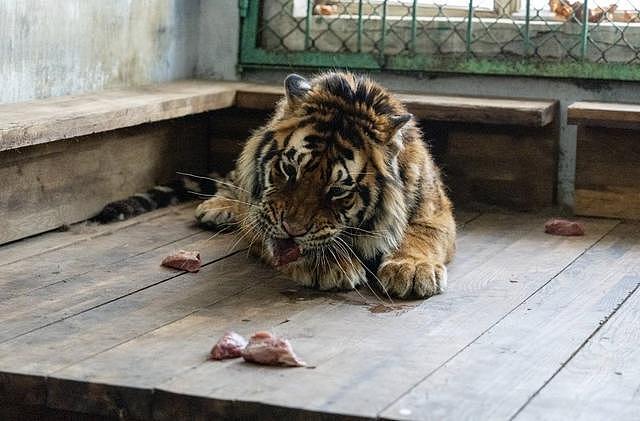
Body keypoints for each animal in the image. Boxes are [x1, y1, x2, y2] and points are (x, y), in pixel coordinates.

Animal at [196, 71, 456, 298]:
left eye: (338, 191)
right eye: (289, 170)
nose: (292, 230)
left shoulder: (435, 211)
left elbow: (421, 235)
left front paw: (411, 269)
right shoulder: (258, 213)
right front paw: (330, 267)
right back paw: (216, 209)